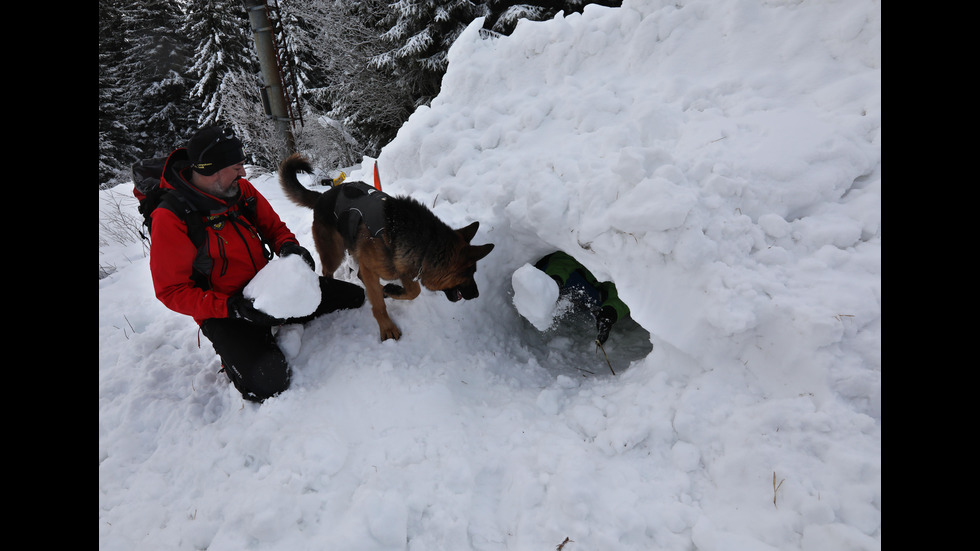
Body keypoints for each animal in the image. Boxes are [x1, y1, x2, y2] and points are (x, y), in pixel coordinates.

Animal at [278, 152, 494, 340]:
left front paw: (392, 290)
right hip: (334, 255)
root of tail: (323, 196)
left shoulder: (401, 266)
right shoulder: (377, 267)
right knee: (329, 271)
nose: (476, 294)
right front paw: (387, 327)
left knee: (359, 274)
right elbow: (381, 305)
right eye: (469, 273)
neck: (425, 243)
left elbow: (413, 290)